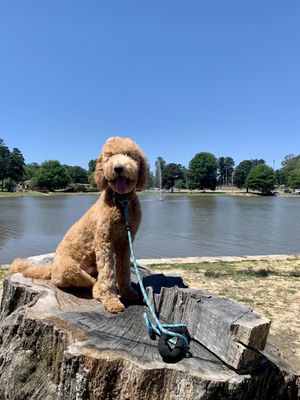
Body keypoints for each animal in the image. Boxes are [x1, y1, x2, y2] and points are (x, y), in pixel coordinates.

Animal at [11, 138, 148, 312]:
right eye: (109, 157)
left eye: (129, 155)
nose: (118, 168)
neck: (121, 202)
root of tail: (51, 268)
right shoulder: (104, 242)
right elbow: (108, 274)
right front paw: (111, 301)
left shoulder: (125, 242)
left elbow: (123, 272)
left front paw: (129, 294)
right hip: (69, 269)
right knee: (93, 281)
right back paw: (99, 292)